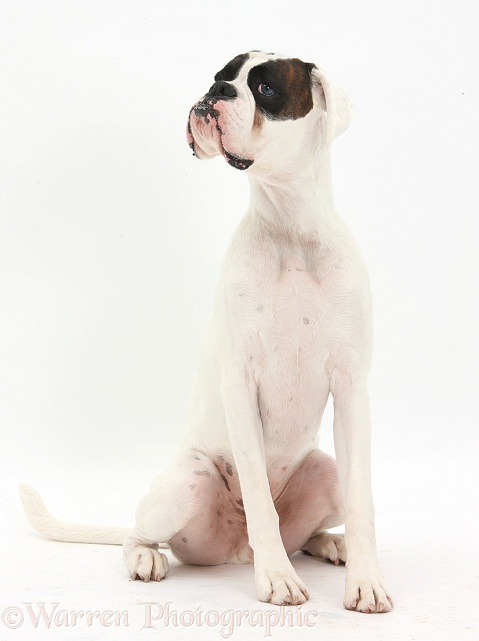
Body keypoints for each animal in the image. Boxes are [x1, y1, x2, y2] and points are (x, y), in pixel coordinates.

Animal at [19, 48, 394, 608]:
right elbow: (258, 493)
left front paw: (366, 579)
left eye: (265, 88)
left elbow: (362, 500)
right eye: (222, 76)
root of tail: (234, 551)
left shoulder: (351, 389)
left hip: (324, 472)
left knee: (310, 528)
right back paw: (149, 557)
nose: (215, 92)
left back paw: (332, 544)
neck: (290, 231)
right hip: (185, 486)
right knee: (139, 533)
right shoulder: (241, 384)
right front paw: (277, 578)